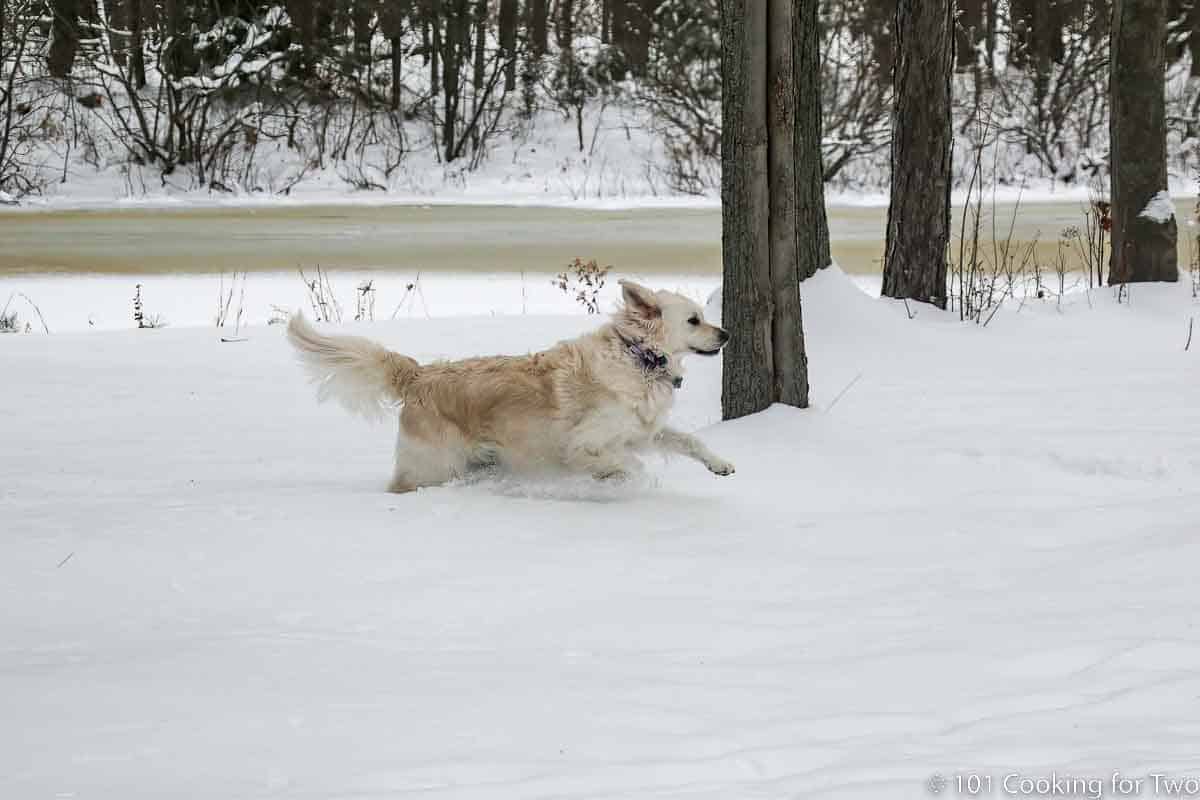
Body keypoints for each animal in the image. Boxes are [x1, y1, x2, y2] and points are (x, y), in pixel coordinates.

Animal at [289, 281, 734, 494]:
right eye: (694, 320)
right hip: (432, 466)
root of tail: (419, 375)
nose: (727, 334)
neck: (639, 358)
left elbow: (688, 440)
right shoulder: (585, 443)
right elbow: (625, 463)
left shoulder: (642, 431)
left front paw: (720, 463)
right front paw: (622, 480)